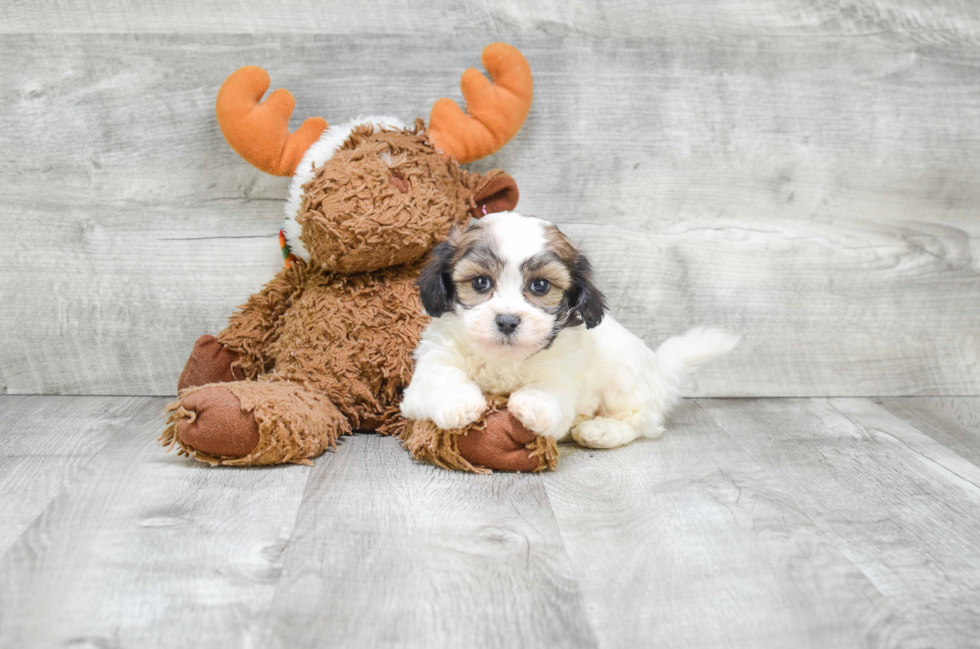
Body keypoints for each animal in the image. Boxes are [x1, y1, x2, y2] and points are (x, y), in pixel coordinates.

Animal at [398, 210, 736, 448]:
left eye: (540, 285)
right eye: (480, 282)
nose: (507, 320)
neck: (504, 359)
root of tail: (659, 369)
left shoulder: (562, 375)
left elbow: (550, 393)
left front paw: (532, 402)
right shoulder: (430, 367)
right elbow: (440, 379)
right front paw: (458, 402)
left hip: (626, 379)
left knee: (641, 420)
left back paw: (600, 430)